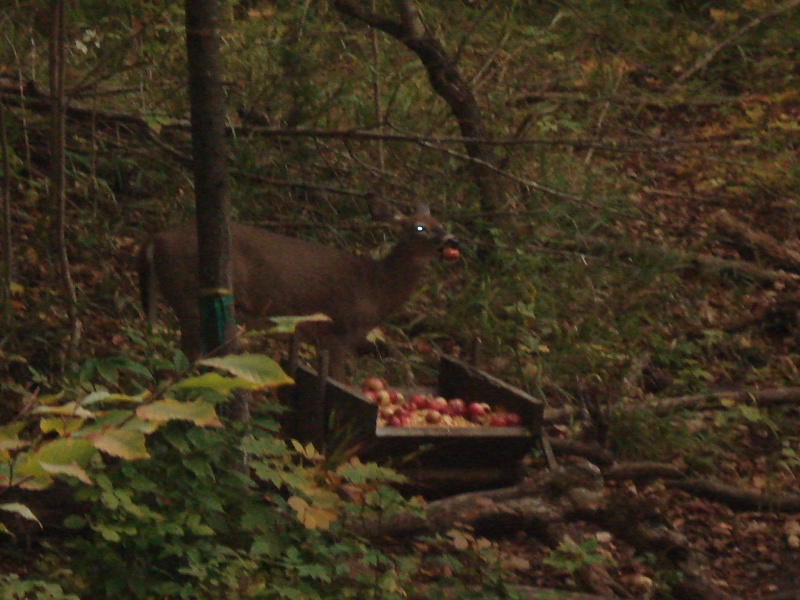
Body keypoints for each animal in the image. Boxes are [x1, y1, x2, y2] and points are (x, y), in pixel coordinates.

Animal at [138, 195, 460, 382]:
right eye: (419, 227)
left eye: (439, 222)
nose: (451, 240)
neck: (376, 289)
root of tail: (154, 239)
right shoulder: (339, 331)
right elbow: (339, 382)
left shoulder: (316, 336)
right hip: (188, 295)